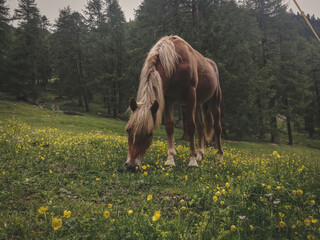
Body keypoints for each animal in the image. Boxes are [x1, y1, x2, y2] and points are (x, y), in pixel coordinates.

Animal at [124, 36, 222, 171]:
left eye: (149, 134)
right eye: (128, 130)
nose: (131, 165)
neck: (176, 63)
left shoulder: (190, 96)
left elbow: (190, 127)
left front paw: (192, 161)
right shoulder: (168, 99)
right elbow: (170, 127)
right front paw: (170, 160)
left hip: (213, 103)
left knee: (217, 127)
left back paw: (219, 156)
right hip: (197, 106)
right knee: (201, 128)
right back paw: (200, 154)